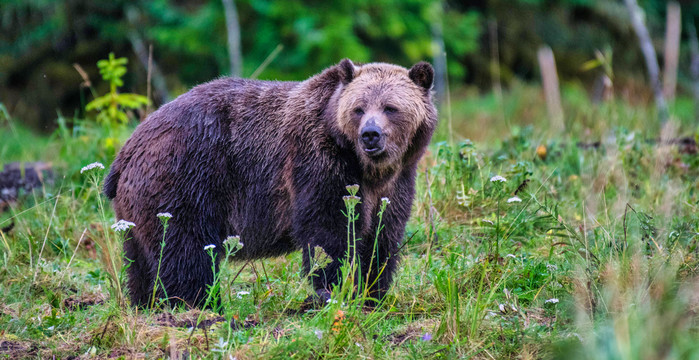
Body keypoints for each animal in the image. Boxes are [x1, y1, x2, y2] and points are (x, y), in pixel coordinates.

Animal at [104, 58, 438, 306]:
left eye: (390, 107)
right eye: (359, 108)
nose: (370, 135)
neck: (367, 167)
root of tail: (127, 148)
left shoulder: (397, 182)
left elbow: (382, 235)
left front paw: (373, 293)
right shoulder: (317, 162)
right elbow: (328, 232)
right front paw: (334, 289)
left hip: (137, 207)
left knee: (141, 259)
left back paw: (146, 303)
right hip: (185, 178)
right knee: (184, 250)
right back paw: (200, 306)